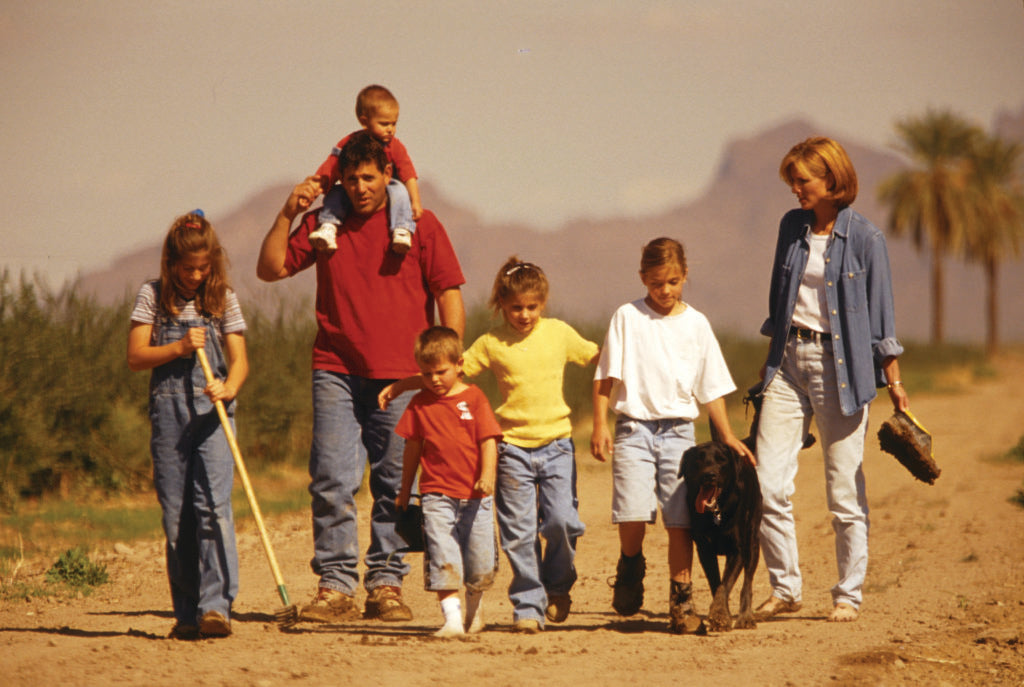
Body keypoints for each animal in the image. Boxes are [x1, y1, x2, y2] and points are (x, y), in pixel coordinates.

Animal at [679, 444, 761, 630]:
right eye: (698, 458)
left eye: (722, 459)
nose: (709, 475)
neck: (716, 511)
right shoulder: (704, 550)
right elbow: (716, 584)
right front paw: (723, 615)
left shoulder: (737, 551)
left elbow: (724, 585)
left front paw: (719, 615)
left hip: (752, 541)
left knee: (747, 582)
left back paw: (746, 616)